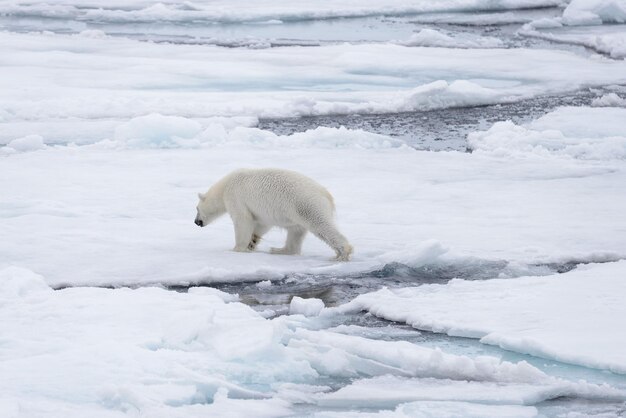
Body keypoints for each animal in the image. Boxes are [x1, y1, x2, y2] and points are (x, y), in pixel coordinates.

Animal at [194, 167, 352, 260]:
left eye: (196, 209)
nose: (196, 222)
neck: (224, 187)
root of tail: (326, 194)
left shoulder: (235, 197)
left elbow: (242, 221)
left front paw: (236, 249)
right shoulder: (262, 212)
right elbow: (262, 224)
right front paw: (252, 242)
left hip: (306, 205)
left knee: (321, 226)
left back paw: (342, 253)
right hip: (296, 212)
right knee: (296, 232)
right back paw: (279, 250)